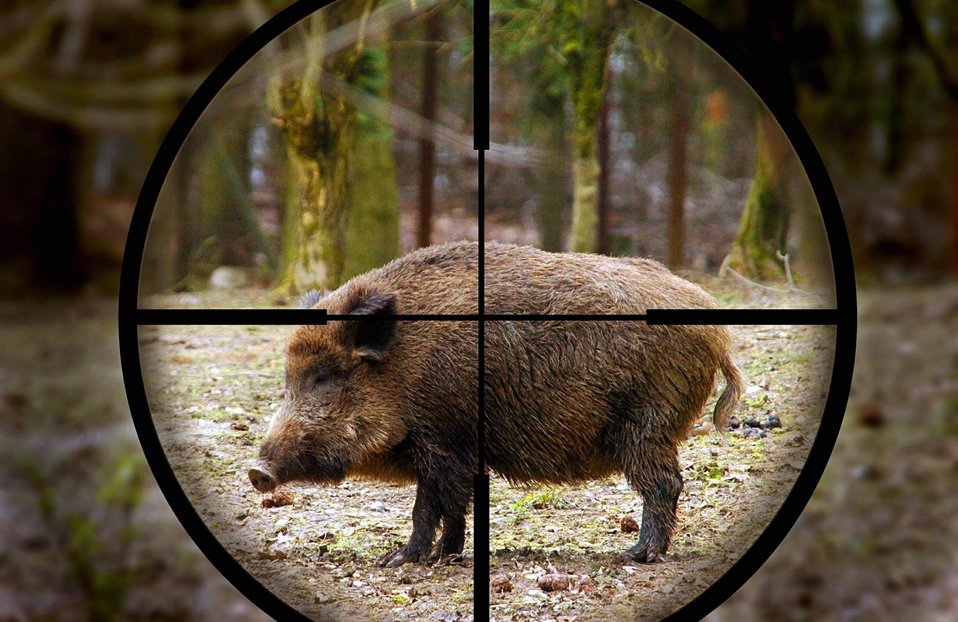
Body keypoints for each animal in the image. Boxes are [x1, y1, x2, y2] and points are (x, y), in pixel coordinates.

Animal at [249, 241, 743, 566]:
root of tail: (718, 332)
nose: (257, 472)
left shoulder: (445, 441)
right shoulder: (451, 450)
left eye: (323, 377)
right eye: (288, 378)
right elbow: (450, 506)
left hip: (647, 425)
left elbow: (431, 504)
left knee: (665, 484)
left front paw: (400, 561)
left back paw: (635, 554)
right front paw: (445, 555)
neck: (404, 366)